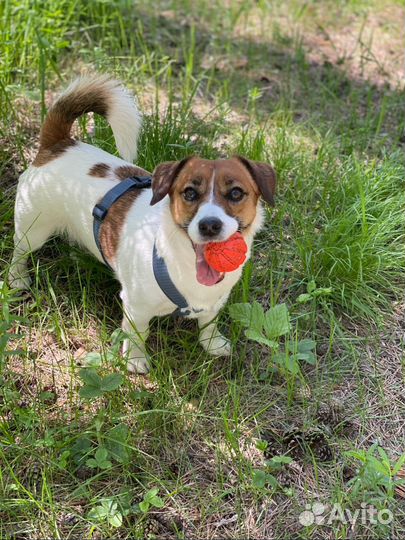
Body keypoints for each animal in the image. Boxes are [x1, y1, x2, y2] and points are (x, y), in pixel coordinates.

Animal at [10, 75, 274, 372]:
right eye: (189, 193)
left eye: (236, 193)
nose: (210, 225)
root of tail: (59, 145)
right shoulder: (136, 307)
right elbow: (138, 334)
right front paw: (136, 361)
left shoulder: (214, 301)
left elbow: (209, 323)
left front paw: (213, 344)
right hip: (33, 228)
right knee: (19, 251)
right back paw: (17, 278)